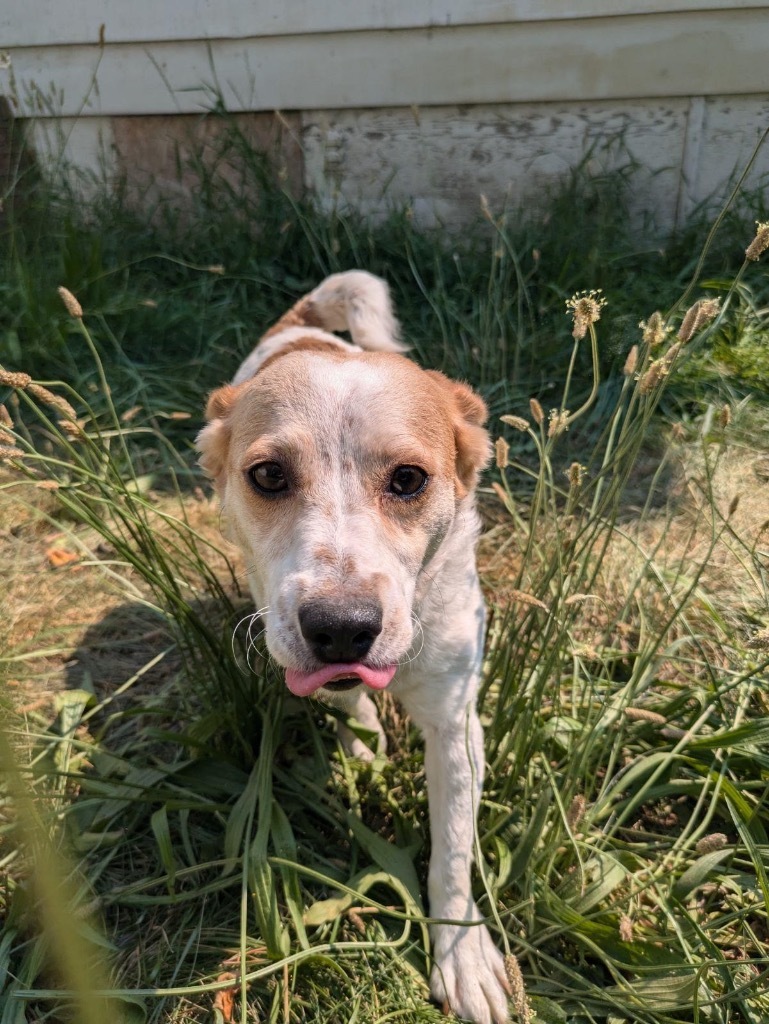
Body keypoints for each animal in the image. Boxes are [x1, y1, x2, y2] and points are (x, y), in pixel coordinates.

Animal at [196, 270, 511, 1024]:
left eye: (409, 479)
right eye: (268, 475)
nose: (340, 626)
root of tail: (301, 324)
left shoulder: (456, 725)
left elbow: (452, 853)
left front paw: (461, 953)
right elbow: (347, 705)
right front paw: (360, 741)